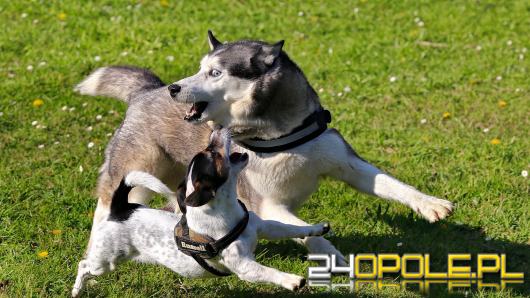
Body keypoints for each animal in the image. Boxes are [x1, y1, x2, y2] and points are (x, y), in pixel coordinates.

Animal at [76, 30, 452, 264]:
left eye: (214, 72)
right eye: (199, 69)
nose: (174, 88)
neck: (278, 137)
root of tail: (146, 91)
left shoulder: (347, 164)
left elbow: (390, 184)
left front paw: (429, 204)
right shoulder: (267, 204)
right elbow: (306, 231)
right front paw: (329, 253)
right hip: (131, 171)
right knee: (107, 207)